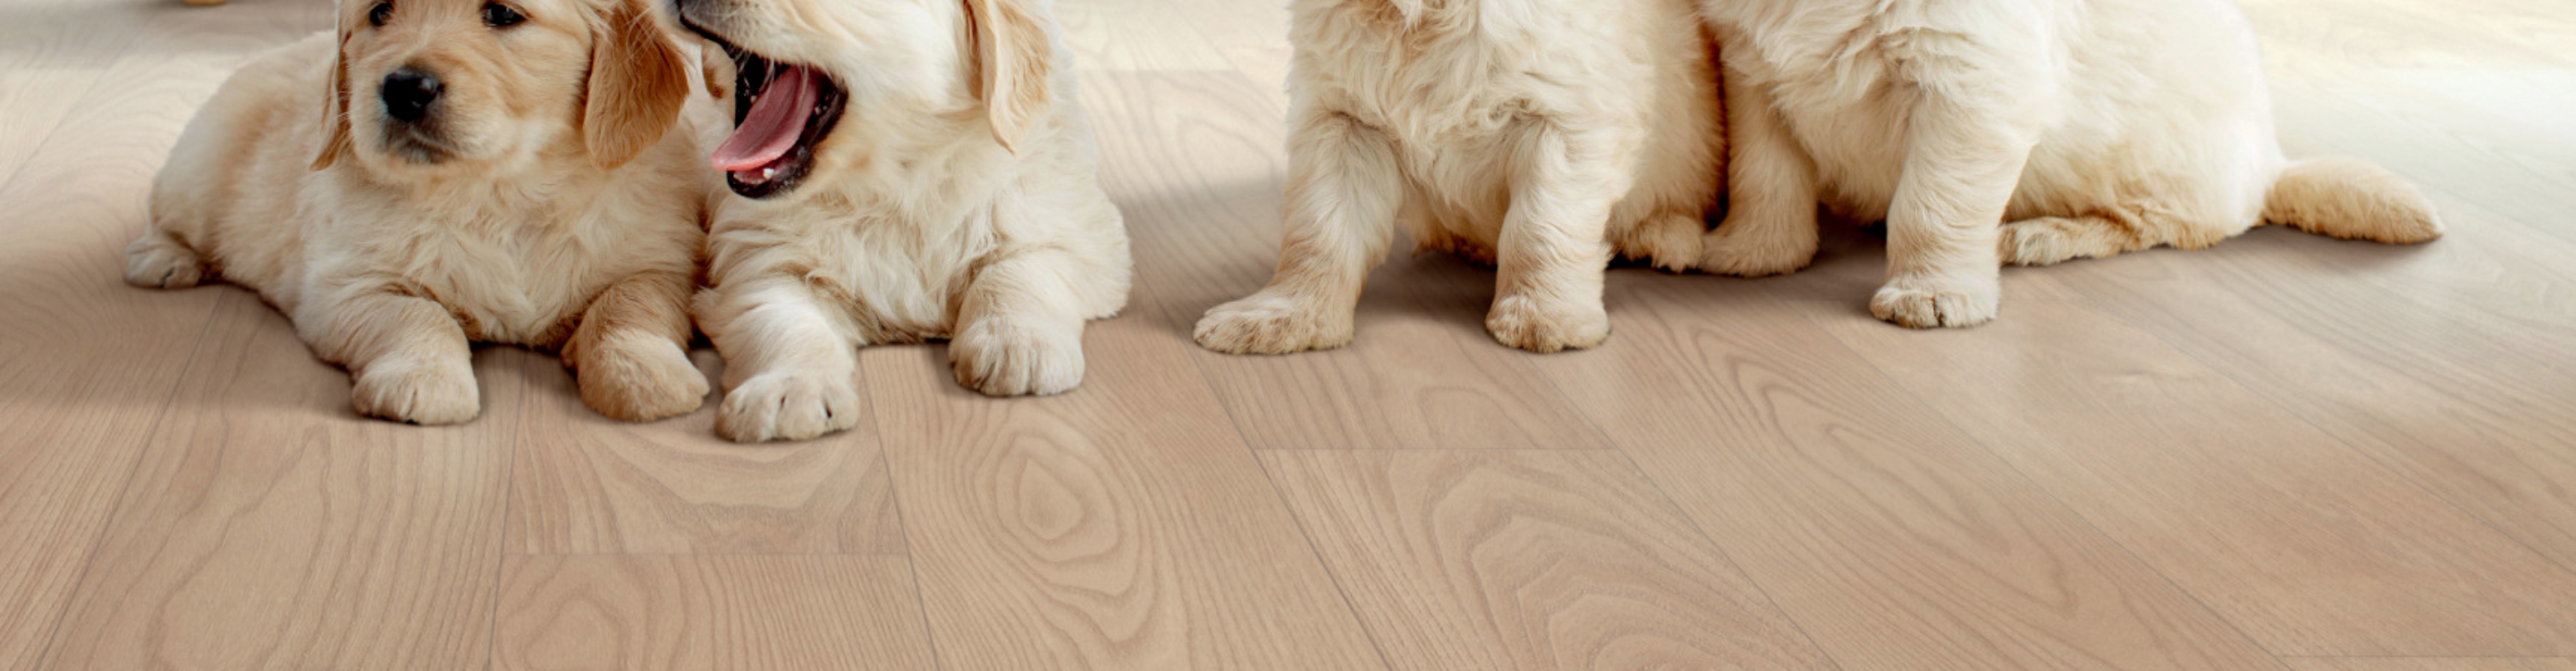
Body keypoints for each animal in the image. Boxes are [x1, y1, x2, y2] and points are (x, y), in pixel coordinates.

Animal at [674, 0, 1128, 441]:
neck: (892, 183)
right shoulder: (758, 256)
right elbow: (784, 319)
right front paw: (789, 389)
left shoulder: (1070, 218)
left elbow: (1023, 267)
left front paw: (1016, 342)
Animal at [1195, 0, 1782, 355]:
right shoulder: (1340, 122)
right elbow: (1320, 233)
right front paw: (1287, 316)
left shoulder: (1565, 119)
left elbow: (1540, 227)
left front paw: (1543, 316)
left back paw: (1664, 235)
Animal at [1700, 0, 2442, 326]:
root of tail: (2270, 166)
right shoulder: (1751, 69)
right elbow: (1762, 174)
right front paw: (1754, 250)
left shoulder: (1972, 89)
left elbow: (1931, 207)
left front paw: (1932, 291)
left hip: (2158, 166)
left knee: (2151, 225)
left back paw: (2041, 236)